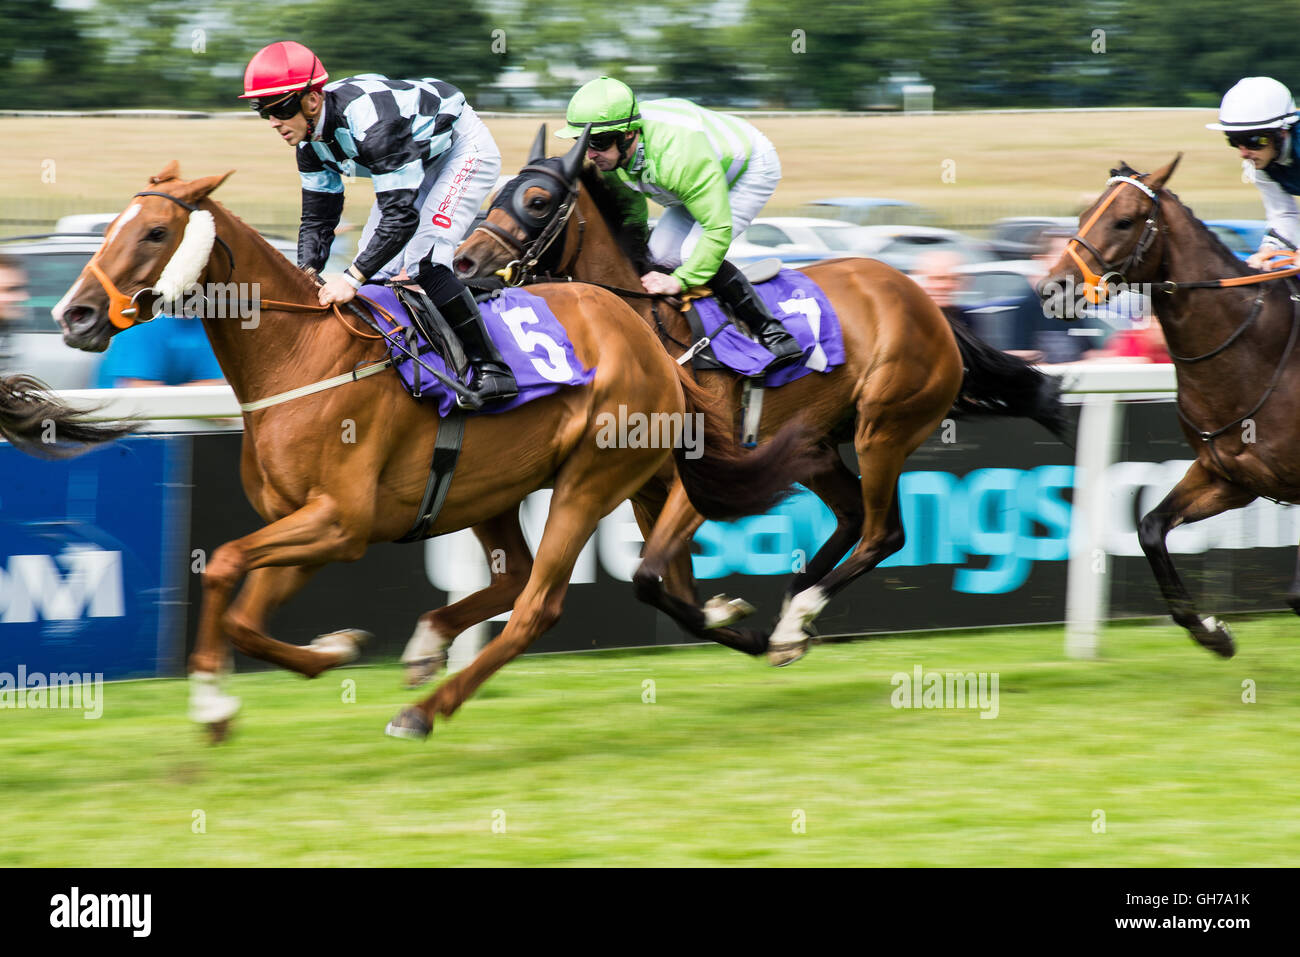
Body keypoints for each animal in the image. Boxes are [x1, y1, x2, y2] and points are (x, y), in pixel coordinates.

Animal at [55, 158, 816, 738]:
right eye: (114, 227)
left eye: (155, 231)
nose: (75, 314)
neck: (301, 356)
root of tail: (646, 337)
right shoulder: (310, 525)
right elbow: (243, 612)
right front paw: (330, 651)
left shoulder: (341, 521)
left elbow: (222, 565)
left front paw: (213, 701)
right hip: (500, 486)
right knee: (539, 574)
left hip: (591, 479)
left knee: (537, 603)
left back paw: (424, 710)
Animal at [441, 127, 1071, 670]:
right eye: (495, 194)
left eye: (538, 200)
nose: (464, 262)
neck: (646, 330)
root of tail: (926, 301)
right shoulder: (647, 490)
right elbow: (662, 584)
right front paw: (732, 619)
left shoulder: (701, 482)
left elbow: (647, 578)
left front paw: (739, 618)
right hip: (813, 445)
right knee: (849, 517)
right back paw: (795, 607)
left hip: (884, 428)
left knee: (882, 531)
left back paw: (798, 616)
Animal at [1040, 155, 1300, 657]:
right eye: (1083, 216)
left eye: (1124, 221)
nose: (1051, 288)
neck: (1256, 353)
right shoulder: (1229, 477)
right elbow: (1149, 528)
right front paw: (1212, 632)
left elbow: (1297, 593)